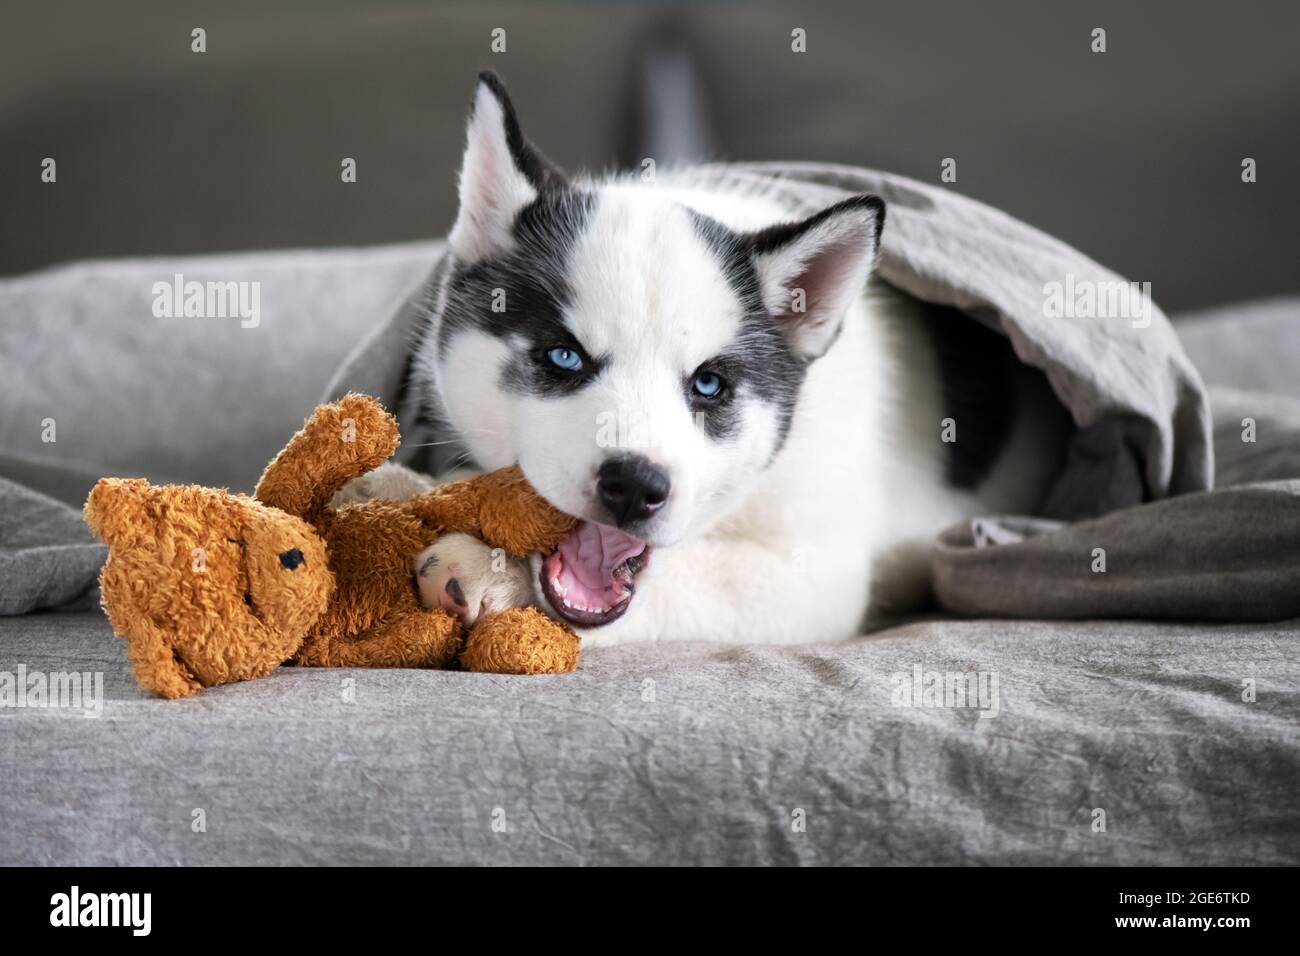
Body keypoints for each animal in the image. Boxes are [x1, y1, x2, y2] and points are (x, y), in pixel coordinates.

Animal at [377, 72, 1066, 642]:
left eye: (709, 385)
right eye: (564, 357)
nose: (636, 487)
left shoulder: (816, 575)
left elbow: (696, 573)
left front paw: (492, 566)